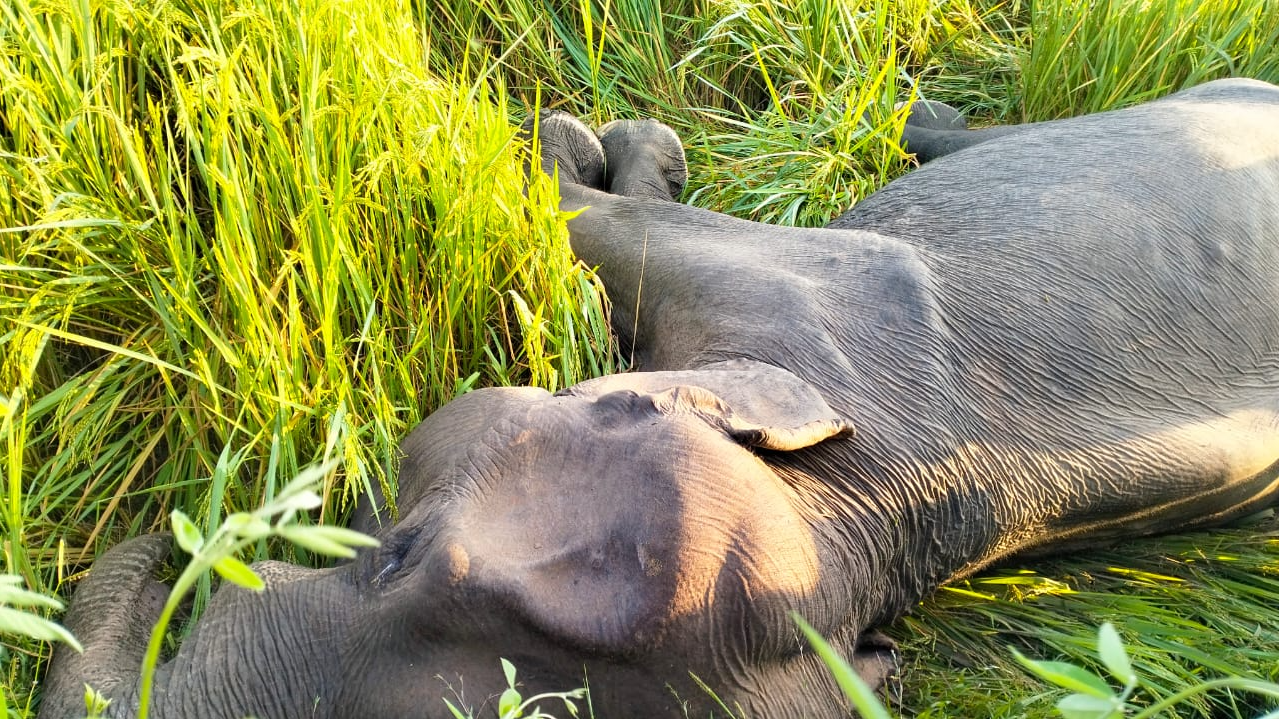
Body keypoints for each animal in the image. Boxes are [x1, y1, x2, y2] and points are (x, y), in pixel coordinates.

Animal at [39, 78, 1279, 716]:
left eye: (394, 556)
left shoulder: (798, 296)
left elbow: (593, 218)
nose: (167, 543)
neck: (877, 522)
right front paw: (622, 148)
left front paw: (579, 146)